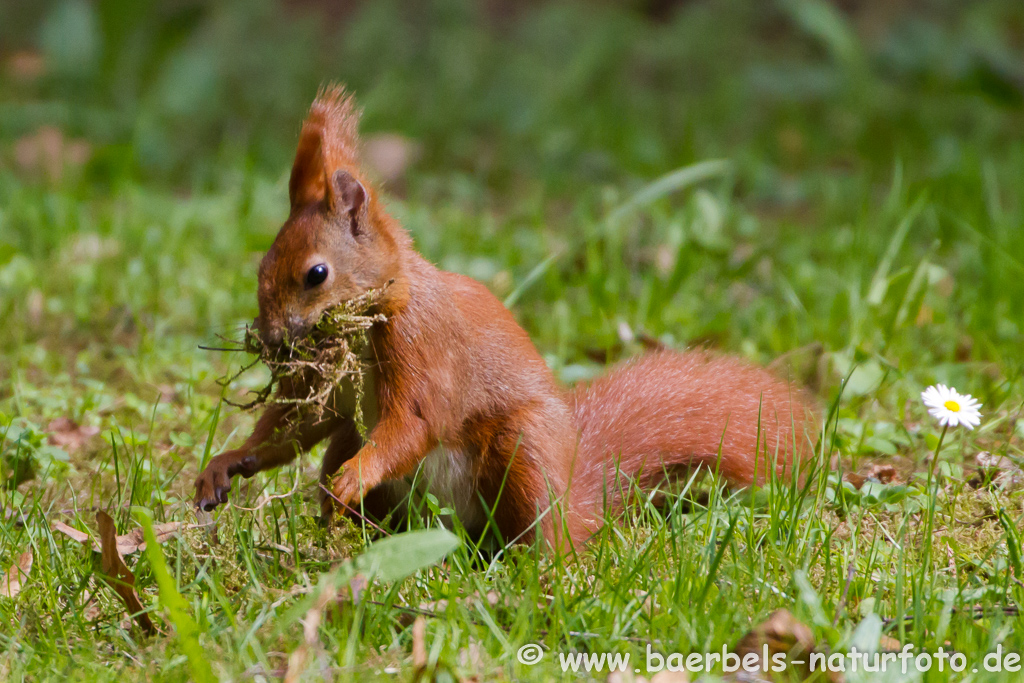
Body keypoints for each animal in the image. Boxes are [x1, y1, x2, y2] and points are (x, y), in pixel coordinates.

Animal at [193, 85, 815, 548]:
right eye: (262, 267)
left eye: (316, 274)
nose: (273, 341)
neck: (383, 310)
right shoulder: (329, 387)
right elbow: (299, 424)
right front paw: (226, 462)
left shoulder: (425, 347)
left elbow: (415, 422)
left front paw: (355, 478)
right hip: (362, 444)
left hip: (524, 452)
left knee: (541, 534)